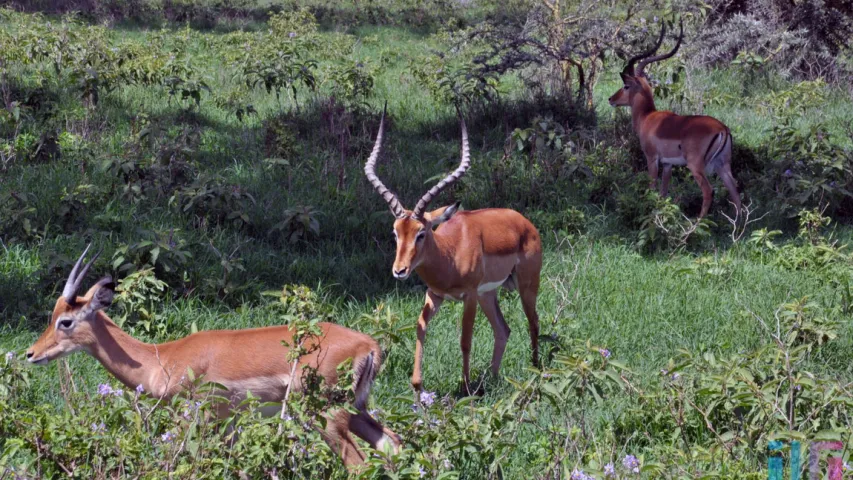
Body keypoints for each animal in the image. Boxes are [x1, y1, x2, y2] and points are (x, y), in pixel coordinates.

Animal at [26, 246, 400, 470]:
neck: (161, 358)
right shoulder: (227, 422)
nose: (31, 354)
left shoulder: (190, 415)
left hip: (327, 414)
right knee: (392, 444)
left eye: (65, 321)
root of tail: (369, 345)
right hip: (357, 409)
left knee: (359, 462)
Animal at [364, 110, 540, 396]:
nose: (399, 271)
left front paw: (465, 387)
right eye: (395, 232)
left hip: (525, 286)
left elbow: (465, 340)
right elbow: (420, 327)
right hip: (488, 294)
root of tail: (524, 222)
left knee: (533, 323)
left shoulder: (468, 296)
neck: (450, 253)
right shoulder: (435, 294)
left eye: (421, 233)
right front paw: (417, 384)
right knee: (503, 329)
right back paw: (493, 378)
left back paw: (535, 371)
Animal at [608, 22, 744, 218]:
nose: (611, 99)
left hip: (696, 166)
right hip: (723, 165)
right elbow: (663, 193)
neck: (647, 118)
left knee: (709, 191)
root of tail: (723, 129)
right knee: (735, 191)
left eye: (626, 86)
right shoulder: (667, 164)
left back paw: (696, 225)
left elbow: (652, 187)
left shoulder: (652, 159)